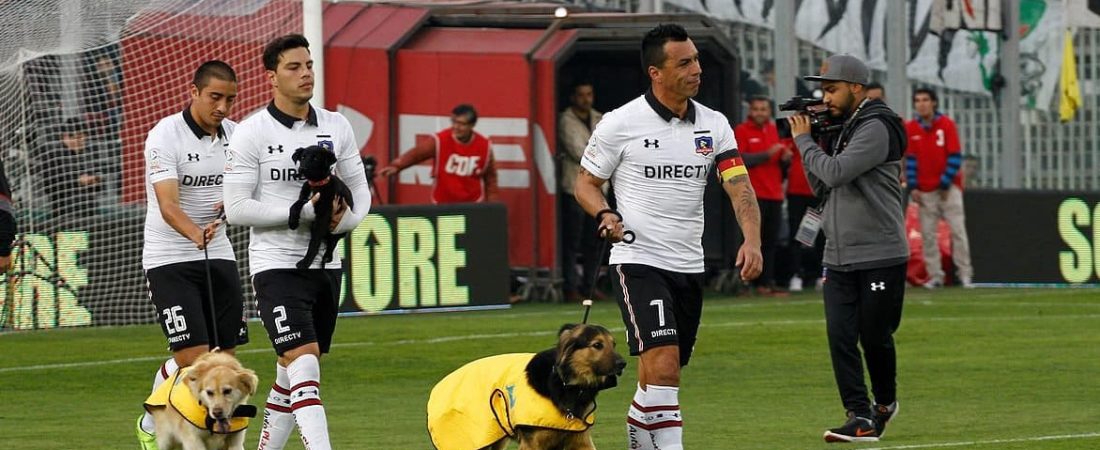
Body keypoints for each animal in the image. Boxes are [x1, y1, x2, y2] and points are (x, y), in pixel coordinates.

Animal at [424, 323, 624, 448]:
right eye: (597, 345)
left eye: (613, 344)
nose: (623, 363)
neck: (565, 384)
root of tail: (437, 387)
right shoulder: (532, 443)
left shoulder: (580, 440)